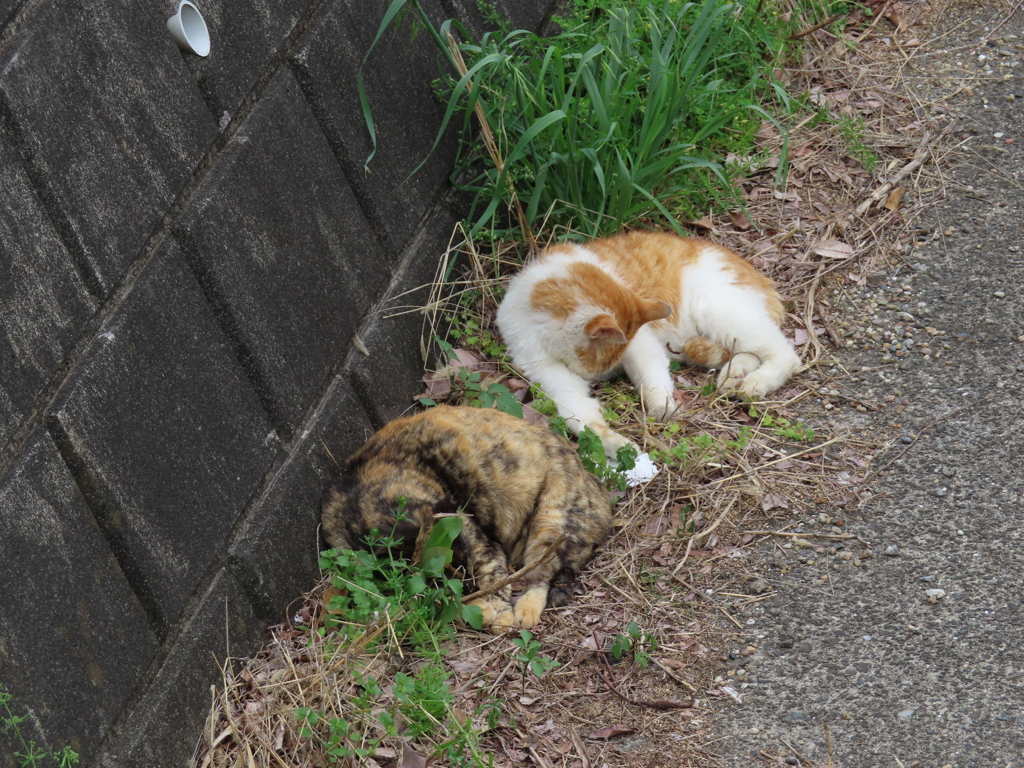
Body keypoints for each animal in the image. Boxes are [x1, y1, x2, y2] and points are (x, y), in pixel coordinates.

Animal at [319, 405, 606, 626]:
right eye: (439, 580)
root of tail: (597, 486)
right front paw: (483, 609)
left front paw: (498, 614)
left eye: (464, 564)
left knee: (542, 574)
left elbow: (494, 582)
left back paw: (524, 612)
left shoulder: (483, 547)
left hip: (550, 521)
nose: (467, 587)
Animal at [493, 231, 798, 454]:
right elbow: (579, 413)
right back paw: (733, 375)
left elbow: (651, 376)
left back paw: (755, 382)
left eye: (601, 363)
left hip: (720, 312)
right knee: (744, 352)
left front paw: (661, 405)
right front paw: (612, 443)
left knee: (785, 354)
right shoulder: (544, 369)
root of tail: (756, 273)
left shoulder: (640, 343)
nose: (604, 376)